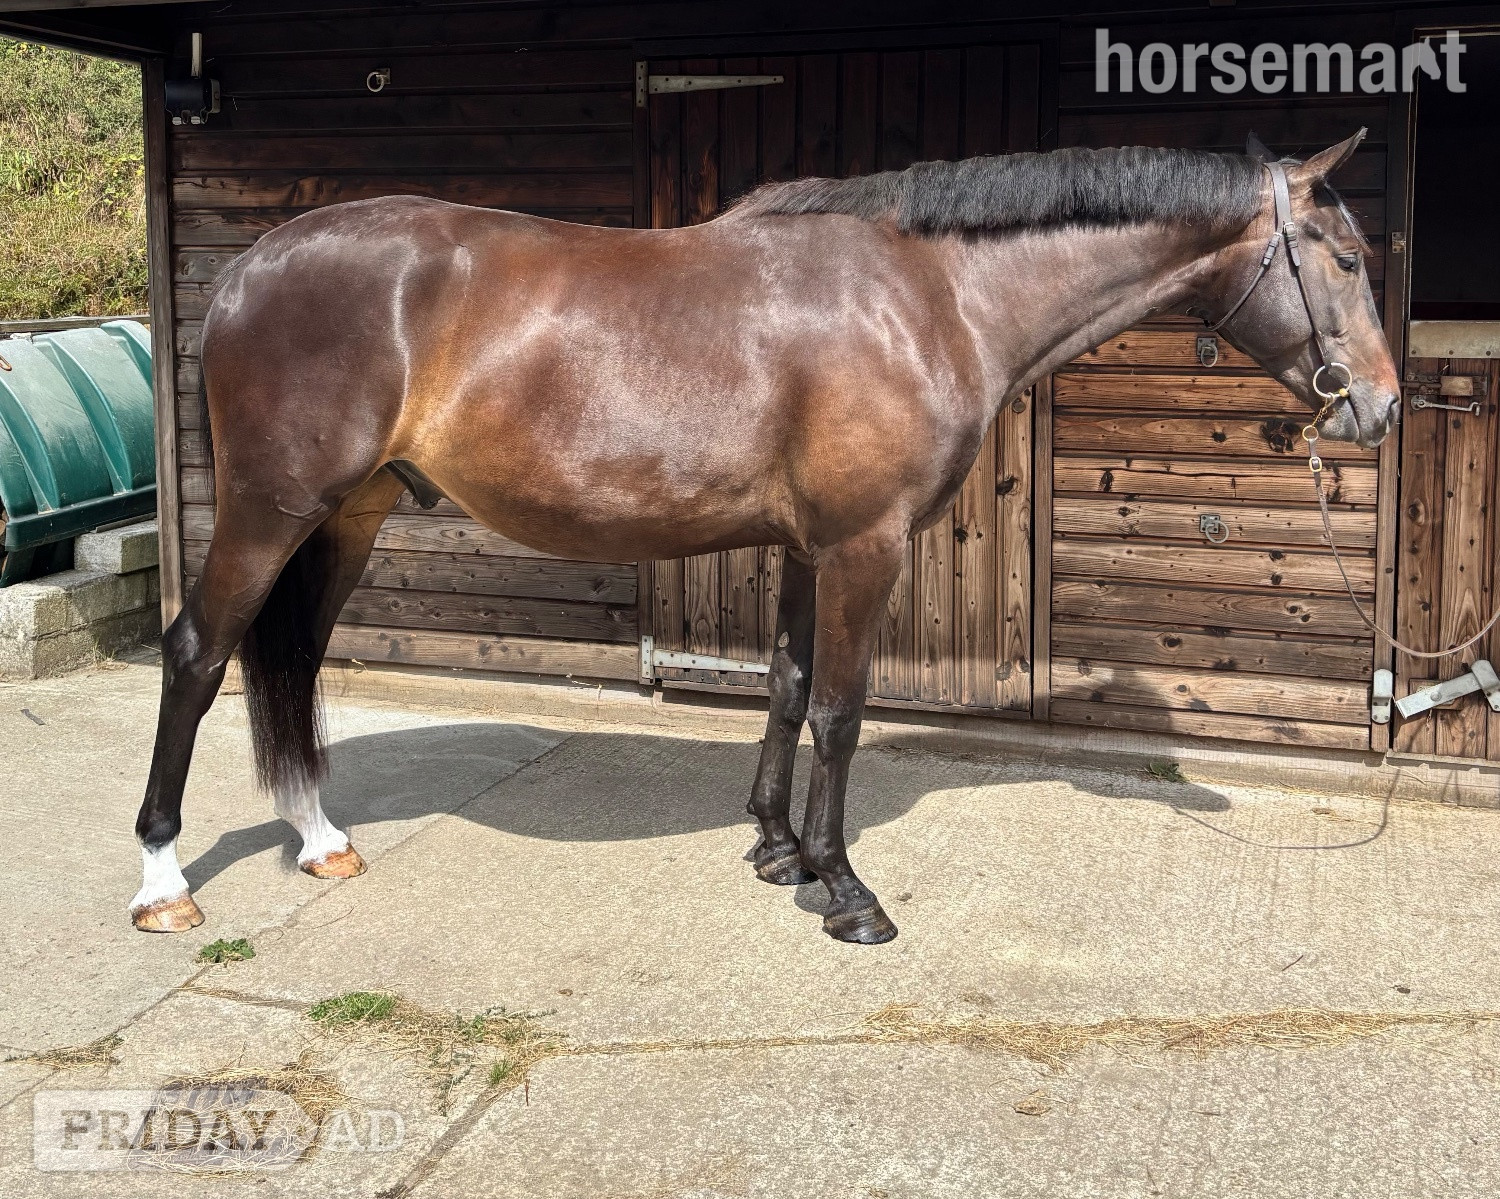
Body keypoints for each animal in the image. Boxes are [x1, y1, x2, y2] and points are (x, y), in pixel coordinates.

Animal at [130, 131, 1399, 944]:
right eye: (1345, 257)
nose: (1381, 407)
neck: (928, 292)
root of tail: (245, 271)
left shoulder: (806, 546)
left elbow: (786, 687)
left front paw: (777, 848)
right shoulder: (864, 547)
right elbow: (839, 707)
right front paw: (844, 889)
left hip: (348, 514)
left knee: (287, 659)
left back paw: (318, 836)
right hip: (270, 511)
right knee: (197, 652)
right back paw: (162, 878)